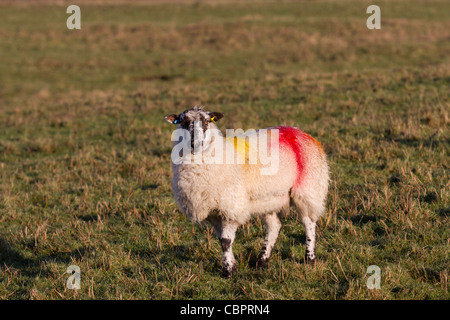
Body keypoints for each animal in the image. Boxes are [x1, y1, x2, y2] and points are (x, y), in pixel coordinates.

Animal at [163, 107, 328, 278]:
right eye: (183, 122)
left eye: (207, 121)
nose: (196, 143)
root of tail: (299, 131)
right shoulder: (214, 212)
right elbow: (221, 240)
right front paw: (232, 265)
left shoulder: (231, 207)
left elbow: (226, 241)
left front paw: (228, 271)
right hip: (269, 198)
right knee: (274, 227)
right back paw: (262, 261)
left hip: (309, 188)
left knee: (309, 223)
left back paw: (309, 258)